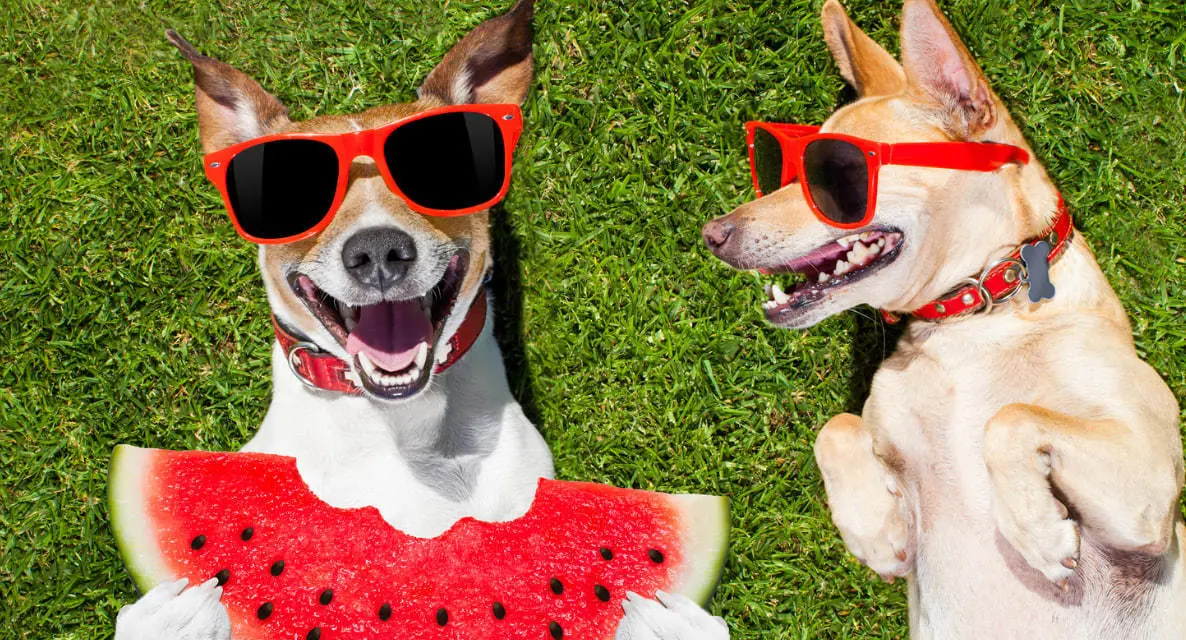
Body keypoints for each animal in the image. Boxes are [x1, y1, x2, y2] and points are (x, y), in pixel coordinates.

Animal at [697, 1, 1181, 640]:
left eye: (837, 175)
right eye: (781, 169)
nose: (712, 234)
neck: (971, 319)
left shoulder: (1148, 492)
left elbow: (1010, 418)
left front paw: (1037, 531)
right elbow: (836, 427)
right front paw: (875, 532)